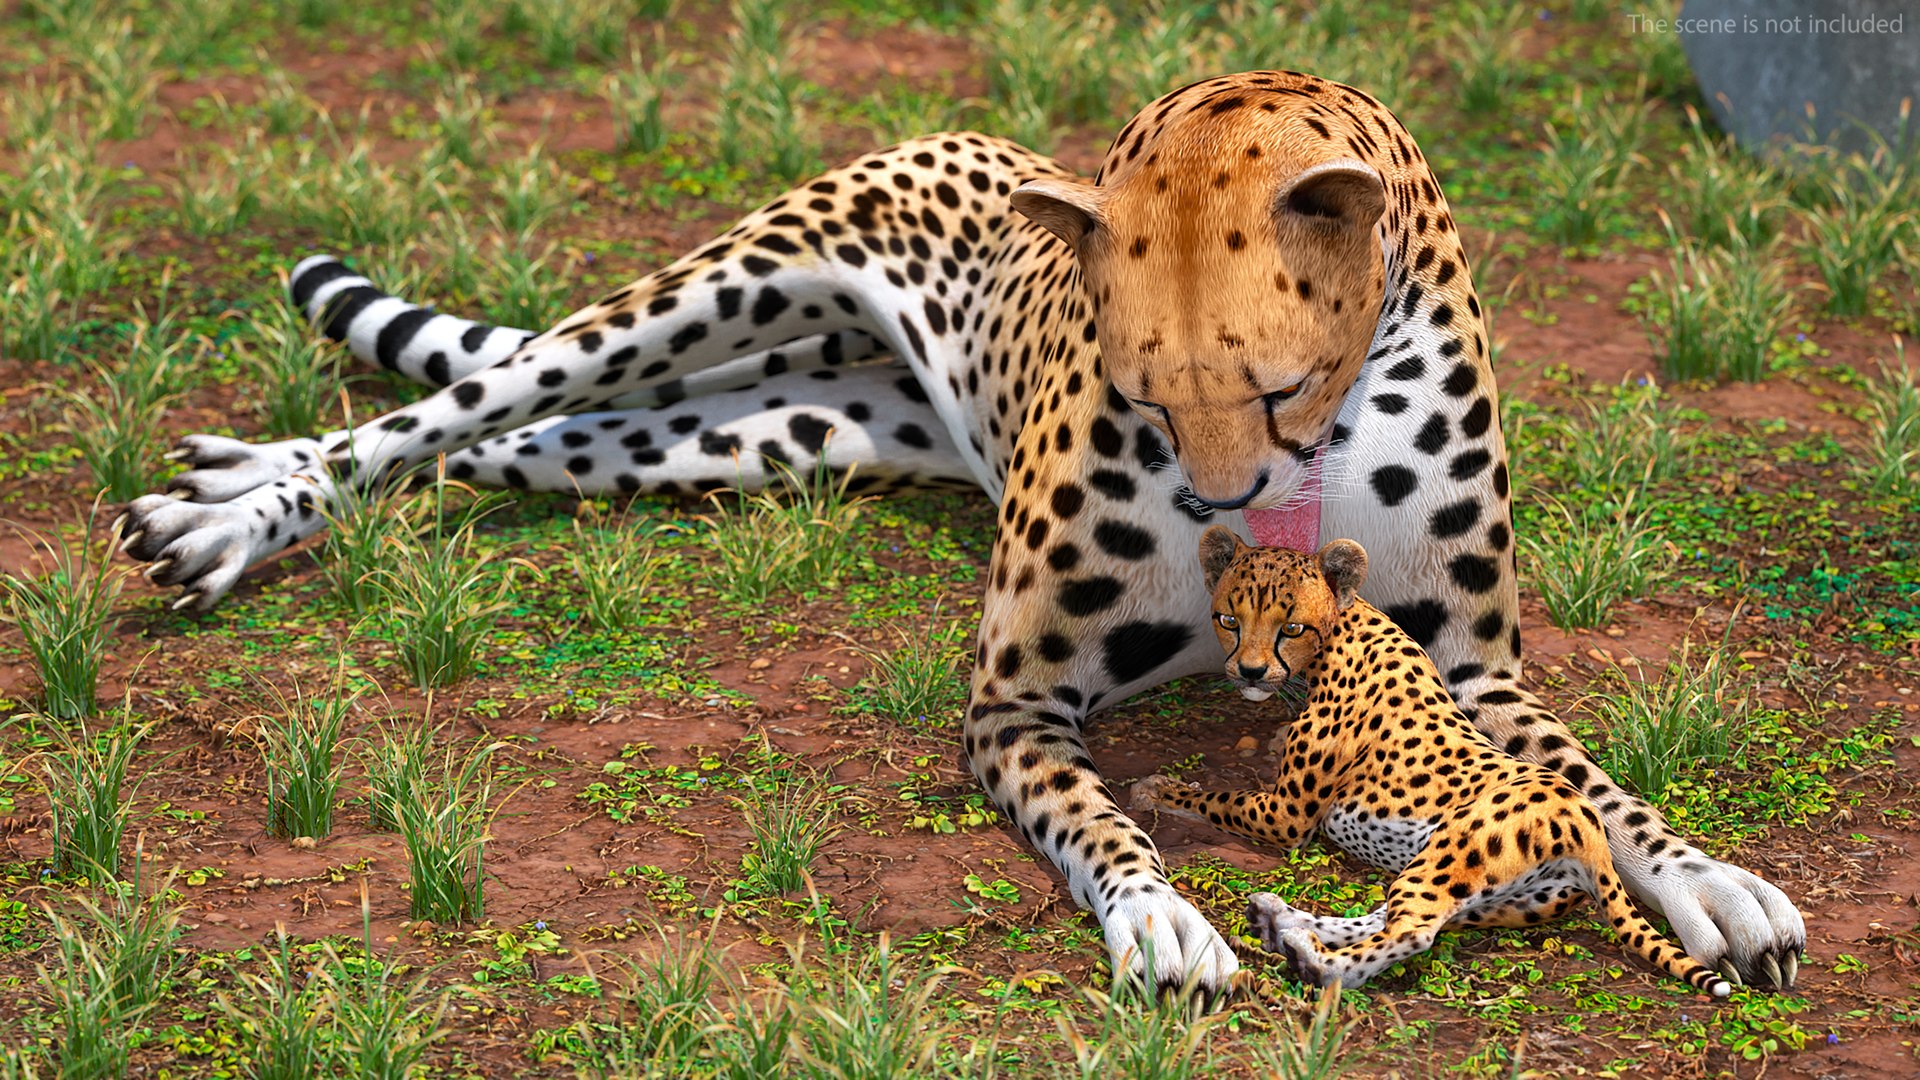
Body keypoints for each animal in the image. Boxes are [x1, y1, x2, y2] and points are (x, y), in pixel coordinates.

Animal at [1130, 528, 1733, 996]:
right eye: (1229, 619)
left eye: (1292, 627)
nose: (1250, 672)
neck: (1348, 625)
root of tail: (1589, 824)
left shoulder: (1287, 815)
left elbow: (1217, 798)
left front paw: (1157, 791)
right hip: (1488, 895)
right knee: (1399, 917)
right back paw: (1284, 922)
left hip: (1452, 851)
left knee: (1413, 930)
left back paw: (1314, 961)